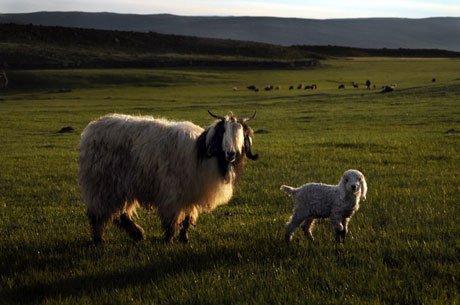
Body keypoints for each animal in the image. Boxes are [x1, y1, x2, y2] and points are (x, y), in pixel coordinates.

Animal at [79, 110, 258, 243]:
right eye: (223, 132)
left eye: (242, 133)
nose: (231, 153)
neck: (203, 153)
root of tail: (90, 130)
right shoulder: (173, 193)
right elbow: (172, 219)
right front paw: (169, 239)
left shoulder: (192, 194)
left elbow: (188, 218)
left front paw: (184, 238)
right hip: (102, 185)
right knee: (98, 214)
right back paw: (99, 238)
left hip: (121, 187)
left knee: (119, 214)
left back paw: (137, 234)